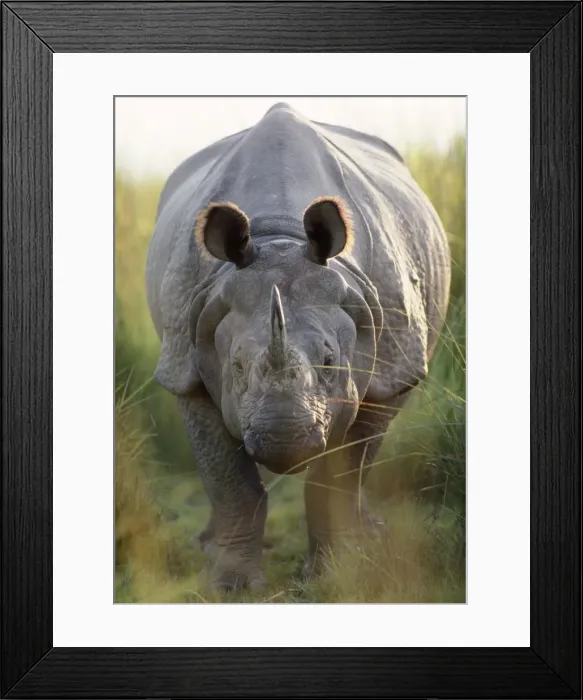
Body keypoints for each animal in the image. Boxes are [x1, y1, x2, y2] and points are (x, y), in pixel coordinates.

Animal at [146, 102, 451, 591]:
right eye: (235, 367)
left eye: (329, 361)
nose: (282, 436)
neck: (280, 237)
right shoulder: (183, 363)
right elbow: (228, 478)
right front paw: (230, 588)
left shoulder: (389, 365)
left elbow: (340, 476)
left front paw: (334, 576)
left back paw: (370, 536)